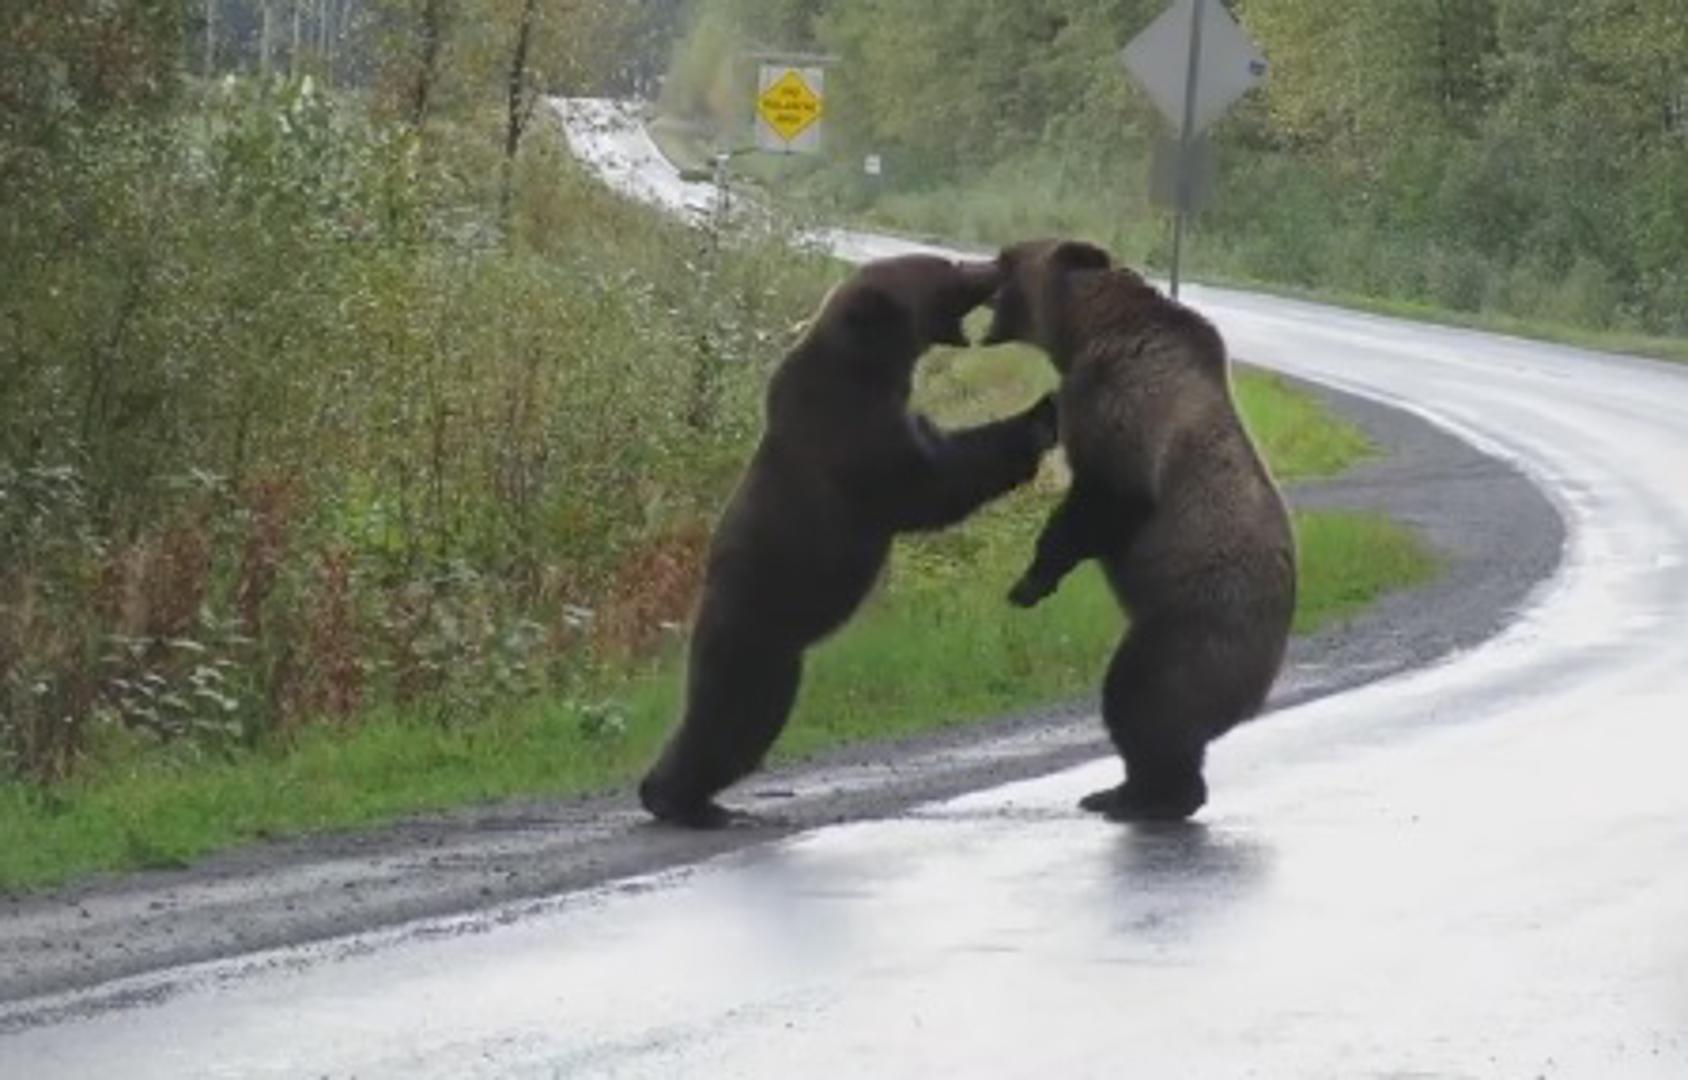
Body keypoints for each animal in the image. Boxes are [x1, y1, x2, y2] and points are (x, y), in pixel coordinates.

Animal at [638, 253, 1060, 826]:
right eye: (948, 266)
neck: (869, 367)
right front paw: (1041, 414)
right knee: (727, 720)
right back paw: (679, 800)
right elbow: (932, 484)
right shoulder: (853, 440)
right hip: (754, 640)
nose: (992, 265)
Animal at [985, 239, 1296, 823]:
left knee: (1141, 699)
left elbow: (1102, 501)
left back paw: (1140, 797)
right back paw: (1124, 791)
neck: (1086, 331)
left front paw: (1030, 581)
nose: (980, 266)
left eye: (1007, 257)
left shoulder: (1126, 410)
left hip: (1191, 627)